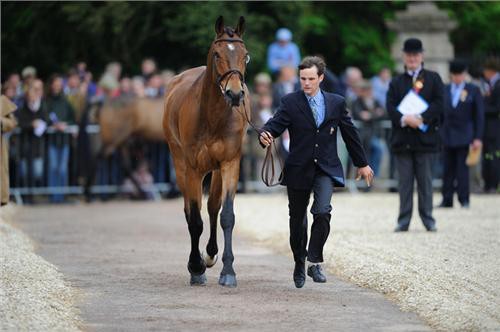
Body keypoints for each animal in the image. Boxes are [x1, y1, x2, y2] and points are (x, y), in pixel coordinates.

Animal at [163, 15, 250, 286]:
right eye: (217, 54)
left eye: (246, 56)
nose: (235, 93)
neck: (212, 117)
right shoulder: (192, 168)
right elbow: (194, 219)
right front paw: (195, 267)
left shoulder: (230, 163)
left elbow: (226, 215)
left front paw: (228, 271)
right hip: (180, 162)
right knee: (190, 211)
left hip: (216, 170)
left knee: (213, 207)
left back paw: (210, 254)